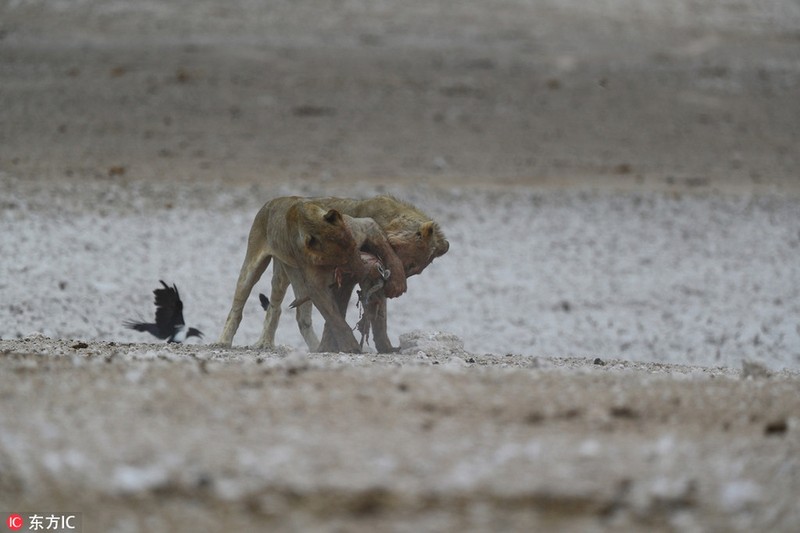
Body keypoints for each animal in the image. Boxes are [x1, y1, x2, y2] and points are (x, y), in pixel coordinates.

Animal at [217, 193, 406, 352]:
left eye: (354, 247)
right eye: (342, 261)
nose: (361, 271)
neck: (310, 220)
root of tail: (270, 202)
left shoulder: (365, 226)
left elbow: (388, 252)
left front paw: (397, 281)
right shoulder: (315, 283)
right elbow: (335, 318)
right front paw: (350, 346)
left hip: (288, 273)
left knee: (287, 311)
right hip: (254, 265)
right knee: (240, 304)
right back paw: (226, 341)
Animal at [258, 195, 450, 354]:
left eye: (414, 271)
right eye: (409, 265)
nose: (389, 280)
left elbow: (380, 318)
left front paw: (387, 348)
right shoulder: (349, 276)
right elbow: (337, 312)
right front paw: (330, 347)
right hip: (282, 273)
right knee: (275, 306)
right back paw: (265, 343)